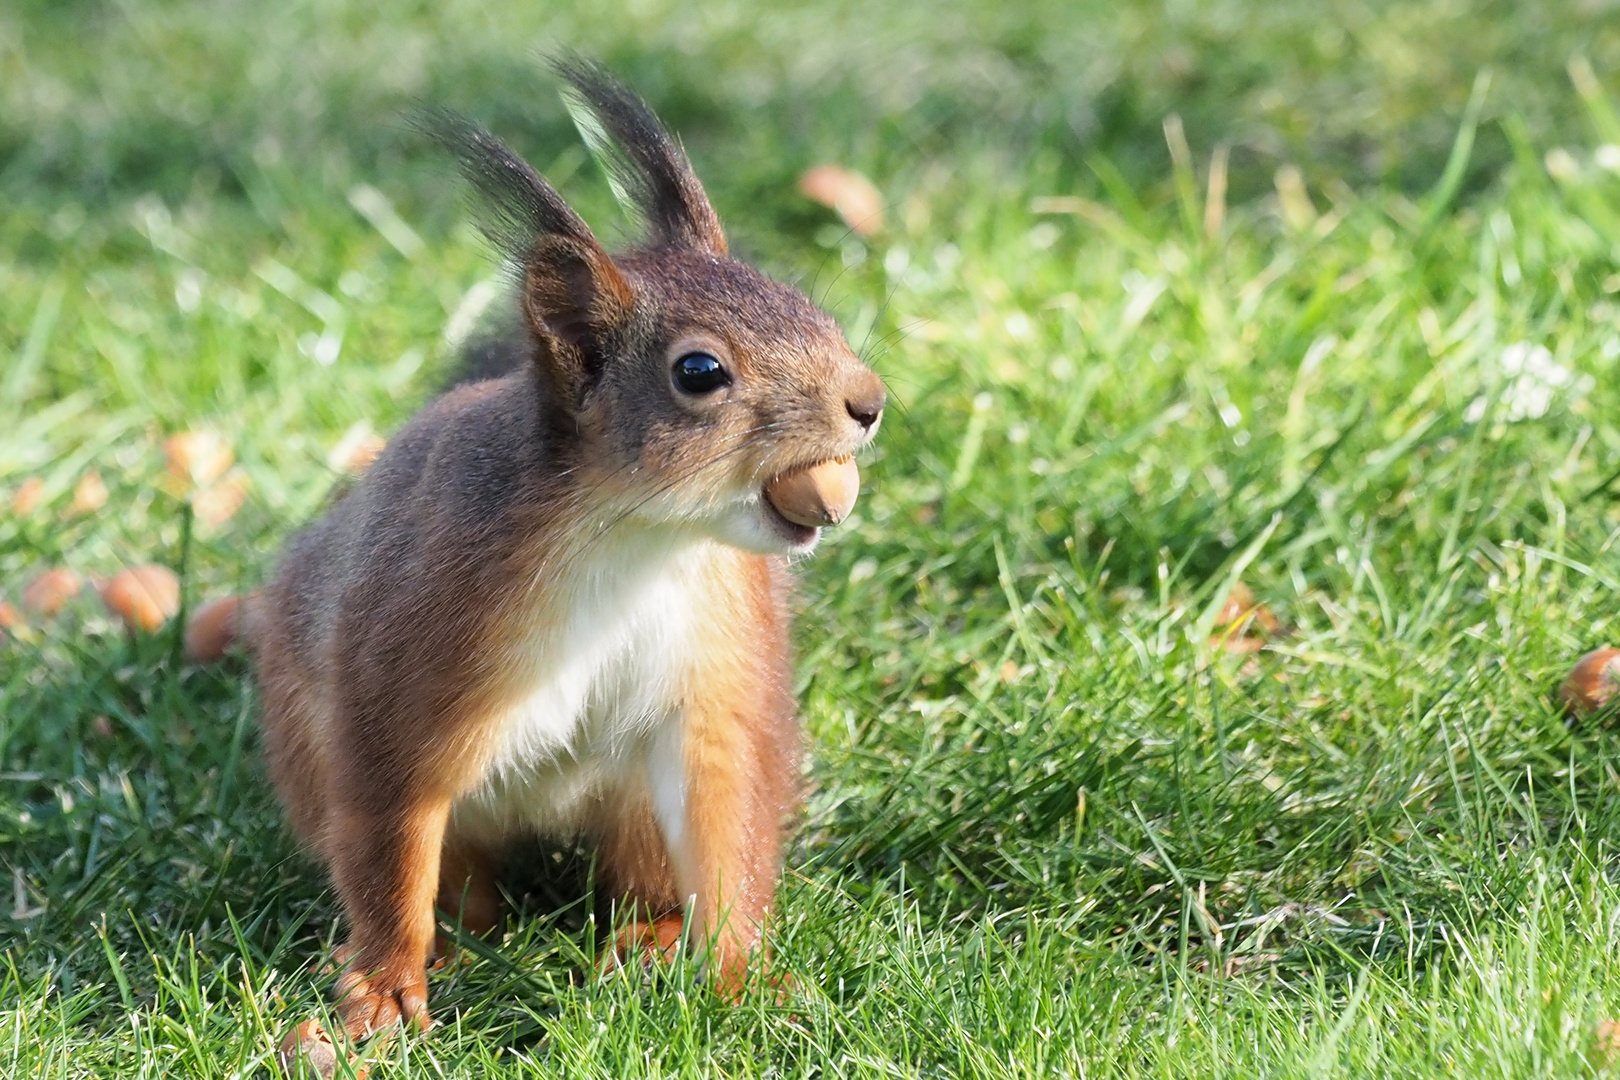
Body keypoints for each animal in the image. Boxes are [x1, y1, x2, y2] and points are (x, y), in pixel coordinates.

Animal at [192, 57, 887, 1055]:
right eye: (699, 372)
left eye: (809, 305)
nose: (868, 402)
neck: (638, 539)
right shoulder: (409, 651)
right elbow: (388, 823)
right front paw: (386, 984)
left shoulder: (719, 663)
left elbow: (726, 810)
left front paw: (737, 972)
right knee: (451, 878)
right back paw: (451, 940)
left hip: (632, 812)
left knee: (643, 870)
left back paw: (651, 938)